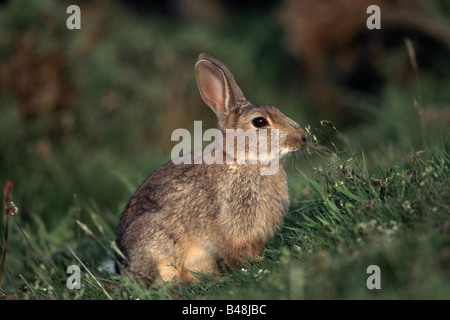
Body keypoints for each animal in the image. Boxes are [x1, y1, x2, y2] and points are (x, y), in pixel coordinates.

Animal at [114, 53, 308, 284]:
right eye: (260, 122)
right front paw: (250, 268)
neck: (245, 161)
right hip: (157, 248)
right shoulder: (226, 230)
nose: (303, 137)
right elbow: (233, 253)